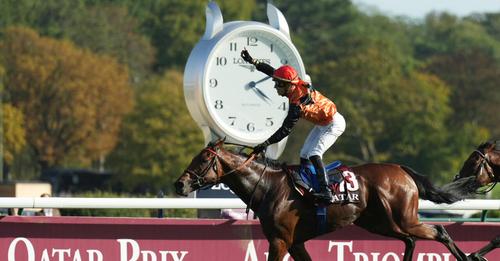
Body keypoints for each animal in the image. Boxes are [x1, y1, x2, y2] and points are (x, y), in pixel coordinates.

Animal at [176, 139, 472, 258]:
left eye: (203, 159)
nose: (180, 184)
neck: (270, 187)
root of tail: (401, 169)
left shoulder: (280, 240)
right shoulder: (295, 242)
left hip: (402, 218)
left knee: (440, 231)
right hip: (379, 222)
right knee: (410, 240)